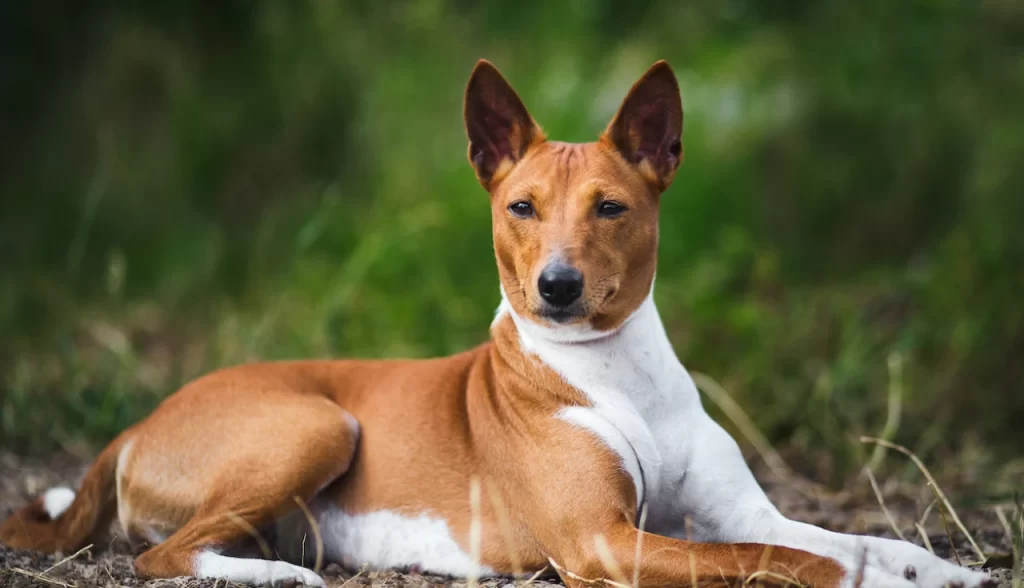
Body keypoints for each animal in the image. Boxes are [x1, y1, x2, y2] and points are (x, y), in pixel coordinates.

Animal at [0, 59, 991, 588]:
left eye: (610, 208)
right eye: (521, 207)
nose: (556, 286)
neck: (615, 373)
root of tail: (142, 420)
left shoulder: (734, 513)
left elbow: (847, 538)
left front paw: (938, 567)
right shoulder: (604, 542)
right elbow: (794, 561)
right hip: (318, 421)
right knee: (164, 555)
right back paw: (284, 577)